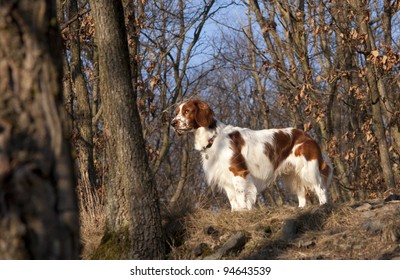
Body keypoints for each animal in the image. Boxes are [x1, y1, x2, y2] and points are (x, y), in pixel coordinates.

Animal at [170, 98, 332, 210]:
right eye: (177, 112)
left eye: (187, 111)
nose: (173, 123)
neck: (213, 138)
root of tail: (307, 135)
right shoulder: (225, 176)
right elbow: (233, 200)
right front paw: (236, 213)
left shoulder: (238, 172)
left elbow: (241, 196)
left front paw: (244, 211)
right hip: (293, 174)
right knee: (302, 193)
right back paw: (301, 209)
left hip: (308, 169)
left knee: (320, 188)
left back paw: (323, 206)